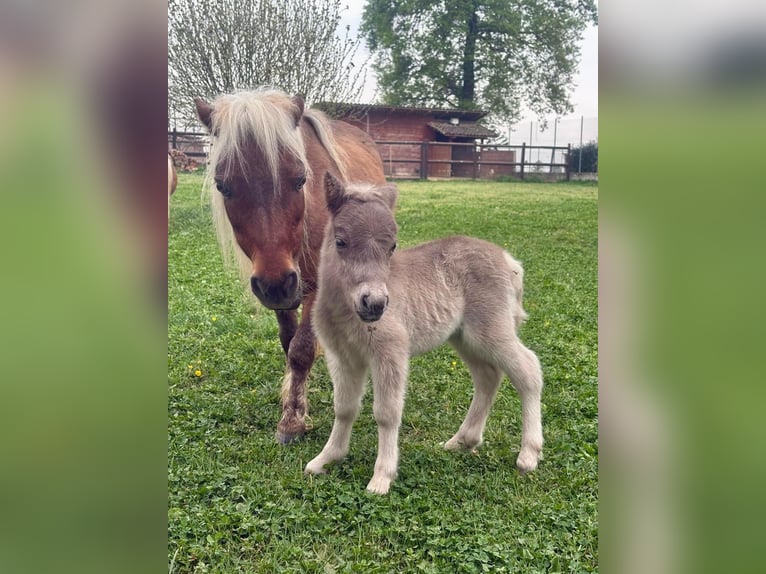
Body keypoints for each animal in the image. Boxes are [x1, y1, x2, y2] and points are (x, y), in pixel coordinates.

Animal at [194, 89, 386, 443]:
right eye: (223, 186)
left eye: (300, 180)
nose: (276, 283)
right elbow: (289, 342)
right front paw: (293, 399)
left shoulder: (313, 285)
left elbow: (301, 349)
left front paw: (293, 419)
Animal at [305, 174, 544, 494]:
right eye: (340, 241)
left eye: (392, 246)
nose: (375, 304)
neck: (345, 313)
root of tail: (509, 261)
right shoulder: (342, 356)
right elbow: (344, 408)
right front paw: (326, 459)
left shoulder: (390, 351)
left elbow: (387, 413)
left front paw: (381, 478)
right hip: (464, 337)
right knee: (488, 376)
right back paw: (462, 441)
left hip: (491, 329)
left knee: (528, 370)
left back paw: (528, 455)